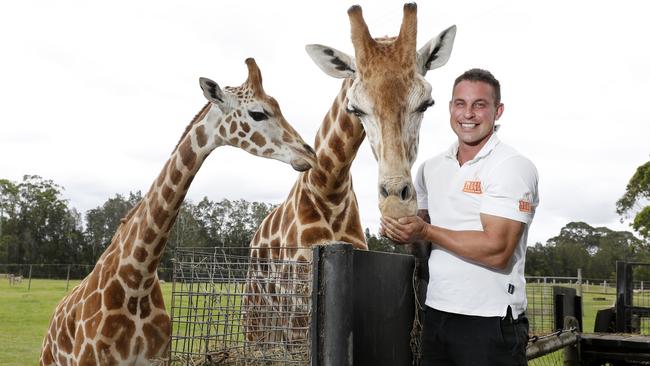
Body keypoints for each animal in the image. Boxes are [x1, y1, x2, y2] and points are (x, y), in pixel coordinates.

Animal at [38, 58, 316, 364]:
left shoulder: (157, 358)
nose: (308, 154)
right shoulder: (92, 359)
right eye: (258, 113)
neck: (136, 279)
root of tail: (53, 319)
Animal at [243, 2, 456, 346]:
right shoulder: (300, 306)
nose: (396, 205)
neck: (329, 188)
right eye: (356, 108)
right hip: (256, 316)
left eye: (427, 103)